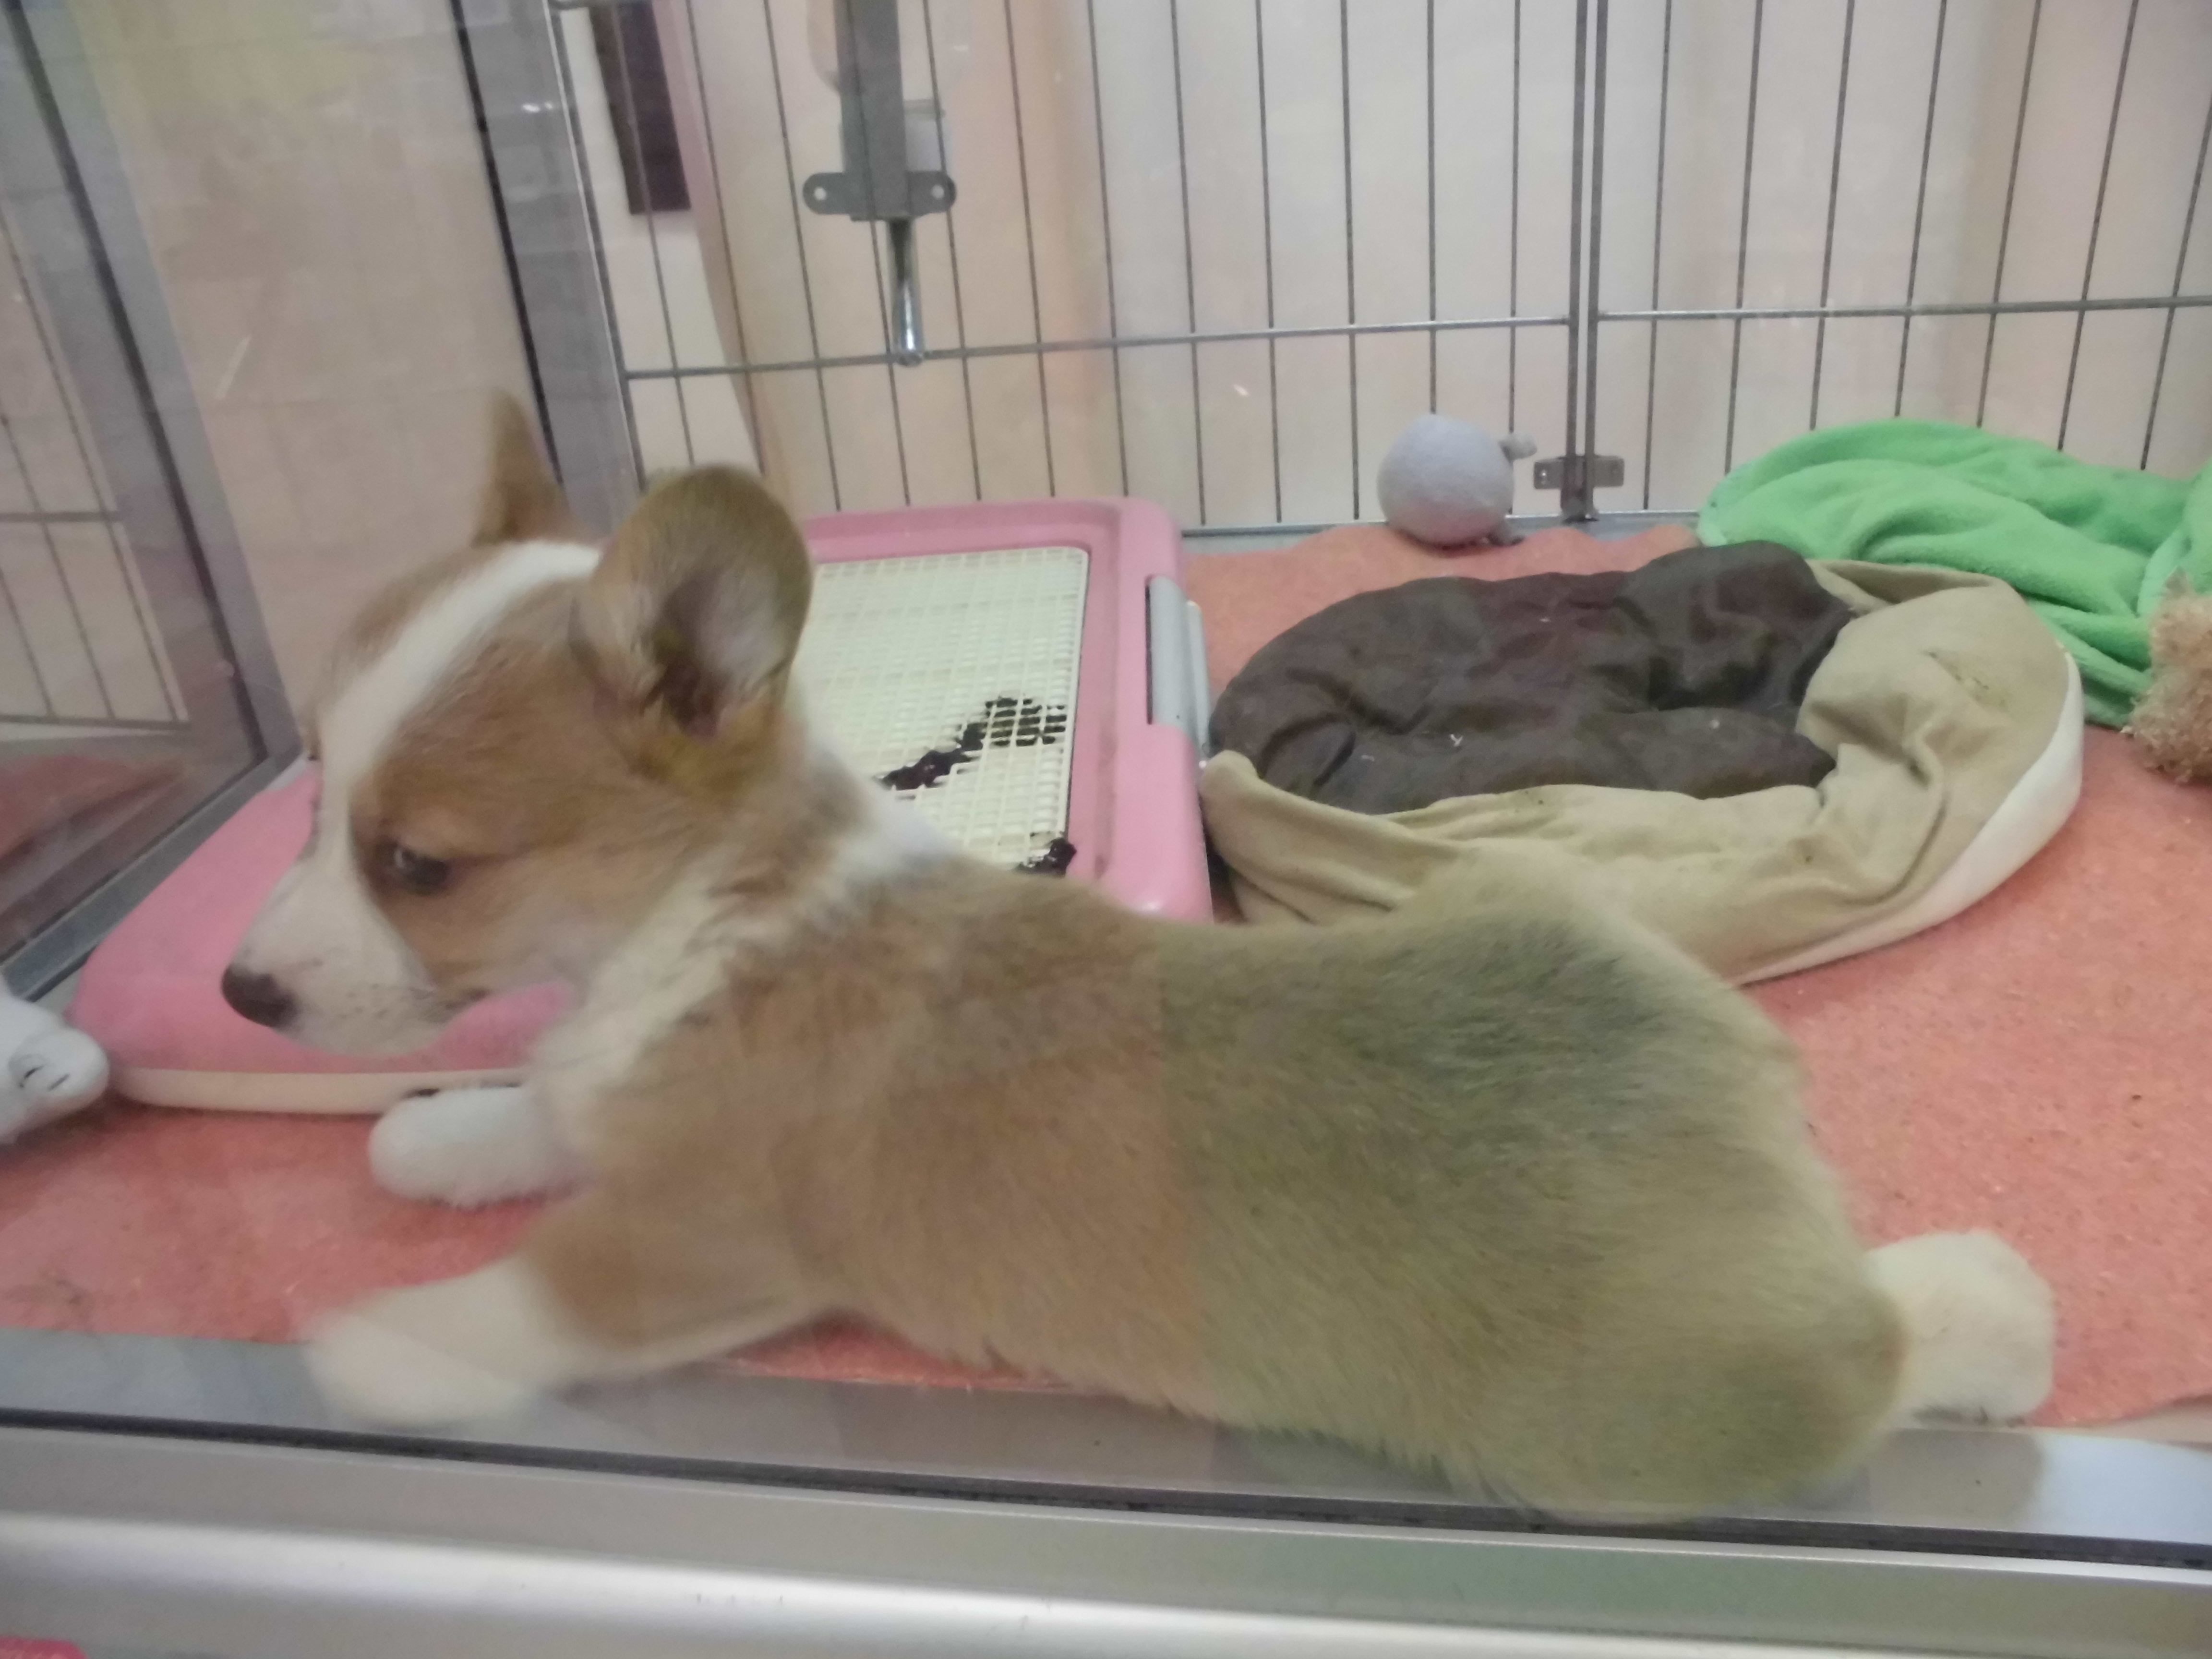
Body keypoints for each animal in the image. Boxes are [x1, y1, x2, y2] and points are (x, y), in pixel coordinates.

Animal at [221, 396, 2054, 1518]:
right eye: (310, 794)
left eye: (419, 862)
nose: (245, 995)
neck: (715, 905)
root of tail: (1730, 1090)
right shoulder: (607, 1093)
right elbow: (536, 1108)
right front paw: (432, 1137)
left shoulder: (695, 1238)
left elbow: (542, 1291)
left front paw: (376, 1344)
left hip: (1642, 1414)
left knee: (1871, 1353)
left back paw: (1996, 1312)